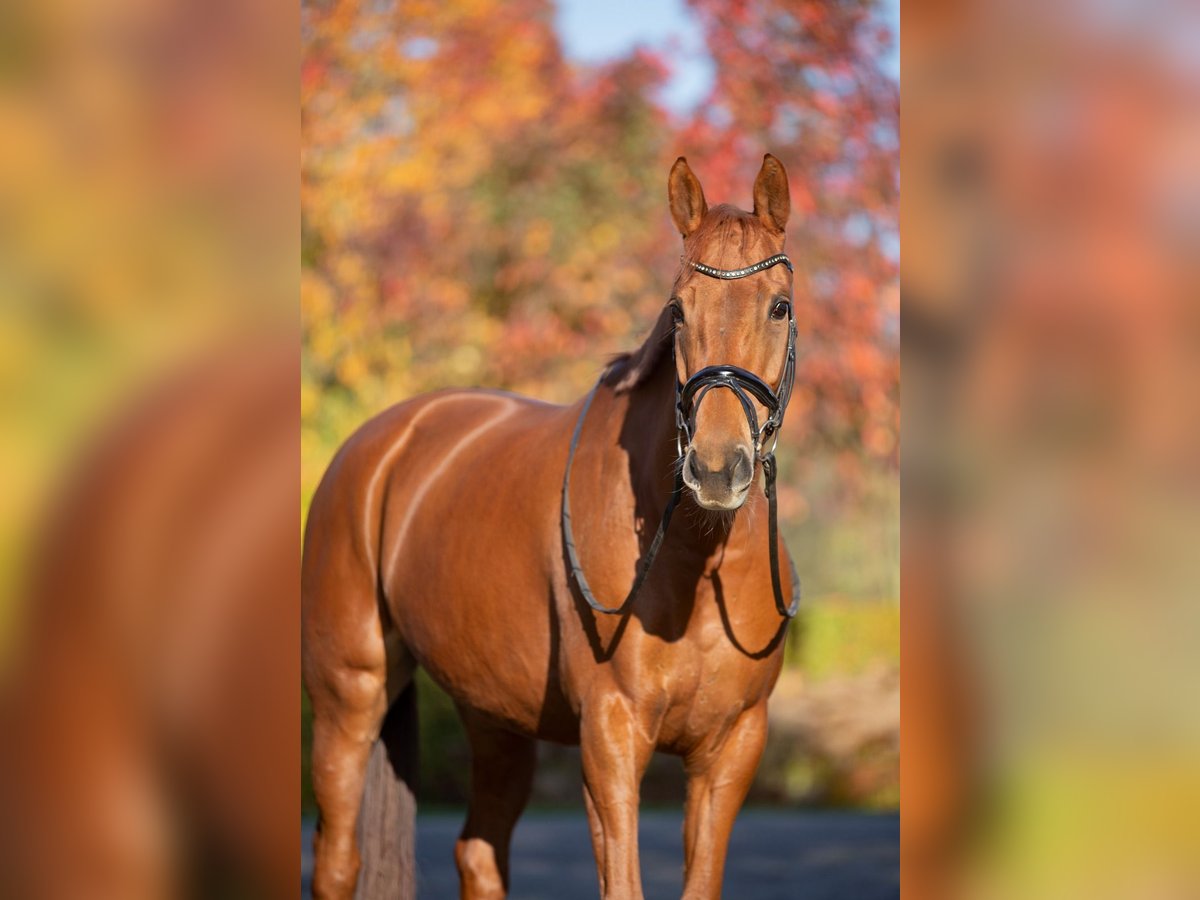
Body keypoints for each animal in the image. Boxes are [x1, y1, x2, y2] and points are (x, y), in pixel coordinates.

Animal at [304, 157, 801, 900]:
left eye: (780, 307)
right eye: (678, 311)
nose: (717, 468)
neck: (696, 565)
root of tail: (376, 446)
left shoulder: (732, 749)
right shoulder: (611, 737)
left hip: (492, 716)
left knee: (478, 854)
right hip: (348, 696)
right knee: (337, 861)